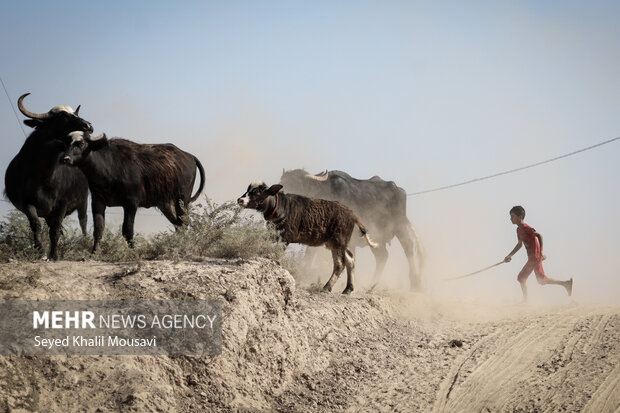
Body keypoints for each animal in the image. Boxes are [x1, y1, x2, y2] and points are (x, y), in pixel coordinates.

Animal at [3, 95, 92, 260]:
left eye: (74, 114)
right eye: (62, 116)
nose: (88, 126)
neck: (43, 174)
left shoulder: (62, 204)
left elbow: (55, 229)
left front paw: (54, 255)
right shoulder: (27, 202)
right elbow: (36, 225)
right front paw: (41, 252)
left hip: (82, 202)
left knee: (83, 223)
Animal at [61, 131, 206, 251]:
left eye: (81, 143)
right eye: (67, 143)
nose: (66, 159)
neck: (109, 168)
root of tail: (189, 156)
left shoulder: (131, 203)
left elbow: (127, 229)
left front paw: (133, 251)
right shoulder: (98, 202)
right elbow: (98, 229)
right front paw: (94, 252)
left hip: (182, 199)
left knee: (183, 222)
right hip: (165, 204)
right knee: (178, 224)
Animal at [280, 169, 422, 288]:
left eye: (297, 183)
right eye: (283, 182)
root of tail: (399, 190)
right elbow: (310, 253)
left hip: (399, 226)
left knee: (408, 248)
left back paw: (415, 283)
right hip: (377, 236)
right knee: (382, 256)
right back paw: (373, 283)